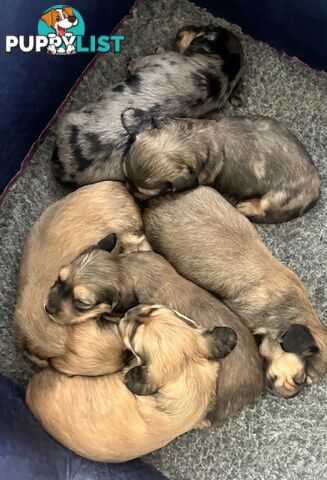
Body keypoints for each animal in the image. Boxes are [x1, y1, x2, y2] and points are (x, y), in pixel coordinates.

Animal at [53, 24, 243, 187]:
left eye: (205, 28)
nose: (183, 29)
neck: (223, 72)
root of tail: (66, 167)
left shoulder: (156, 59)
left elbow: (142, 60)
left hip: (69, 117)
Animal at [123, 109, 320, 222]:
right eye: (125, 176)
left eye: (147, 193)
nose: (129, 189)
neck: (187, 140)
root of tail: (316, 192)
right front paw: (130, 116)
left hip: (278, 197)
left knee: (263, 208)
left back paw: (246, 207)